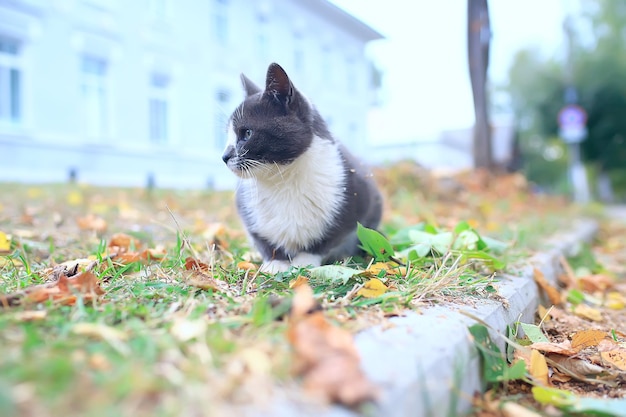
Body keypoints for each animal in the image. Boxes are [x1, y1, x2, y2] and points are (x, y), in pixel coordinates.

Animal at [222, 62, 382, 272]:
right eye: (228, 136)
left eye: (247, 133)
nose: (224, 156)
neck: (281, 179)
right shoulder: (247, 210)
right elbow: (263, 240)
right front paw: (275, 263)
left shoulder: (355, 198)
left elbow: (328, 237)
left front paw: (304, 262)